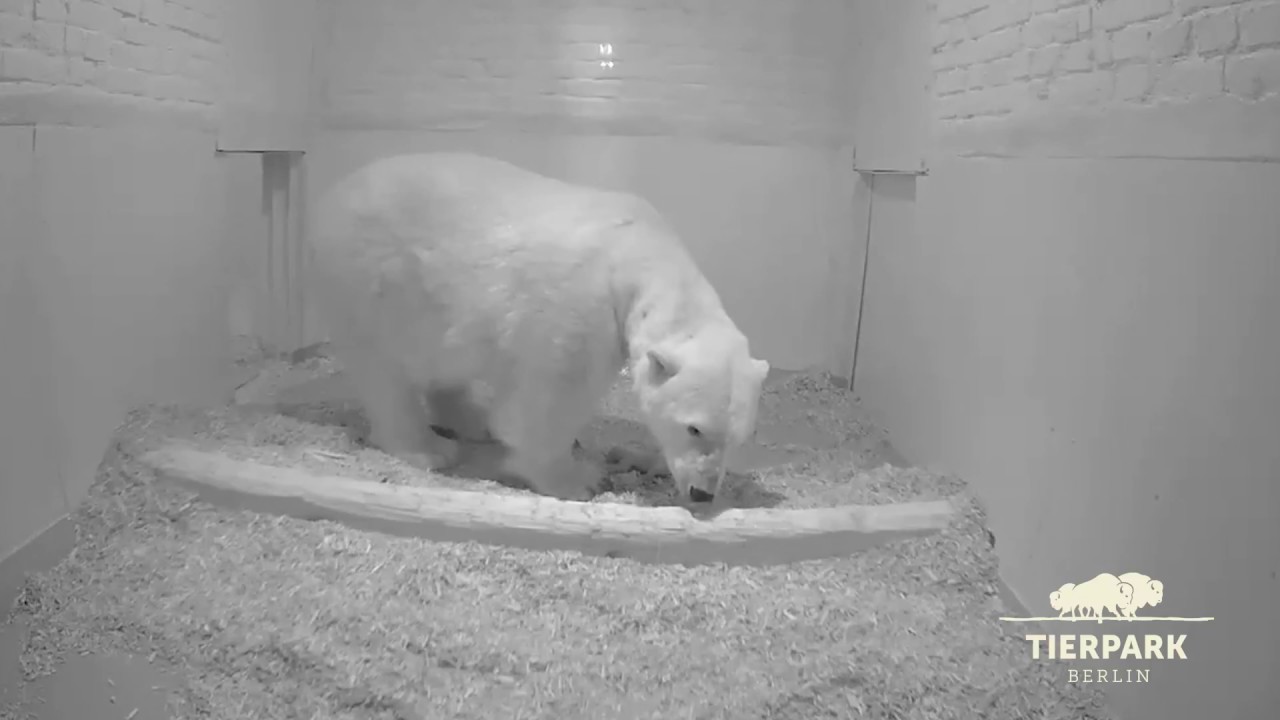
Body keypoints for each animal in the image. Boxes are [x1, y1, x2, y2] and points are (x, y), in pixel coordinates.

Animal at [306, 152, 770, 502]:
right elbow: (544, 404)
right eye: (694, 428)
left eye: (739, 438)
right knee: (383, 374)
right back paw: (428, 449)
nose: (702, 494)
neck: (636, 253)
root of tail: (325, 201)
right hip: (370, 281)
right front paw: (577, 479)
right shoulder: (579, 308)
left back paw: (470, 422)